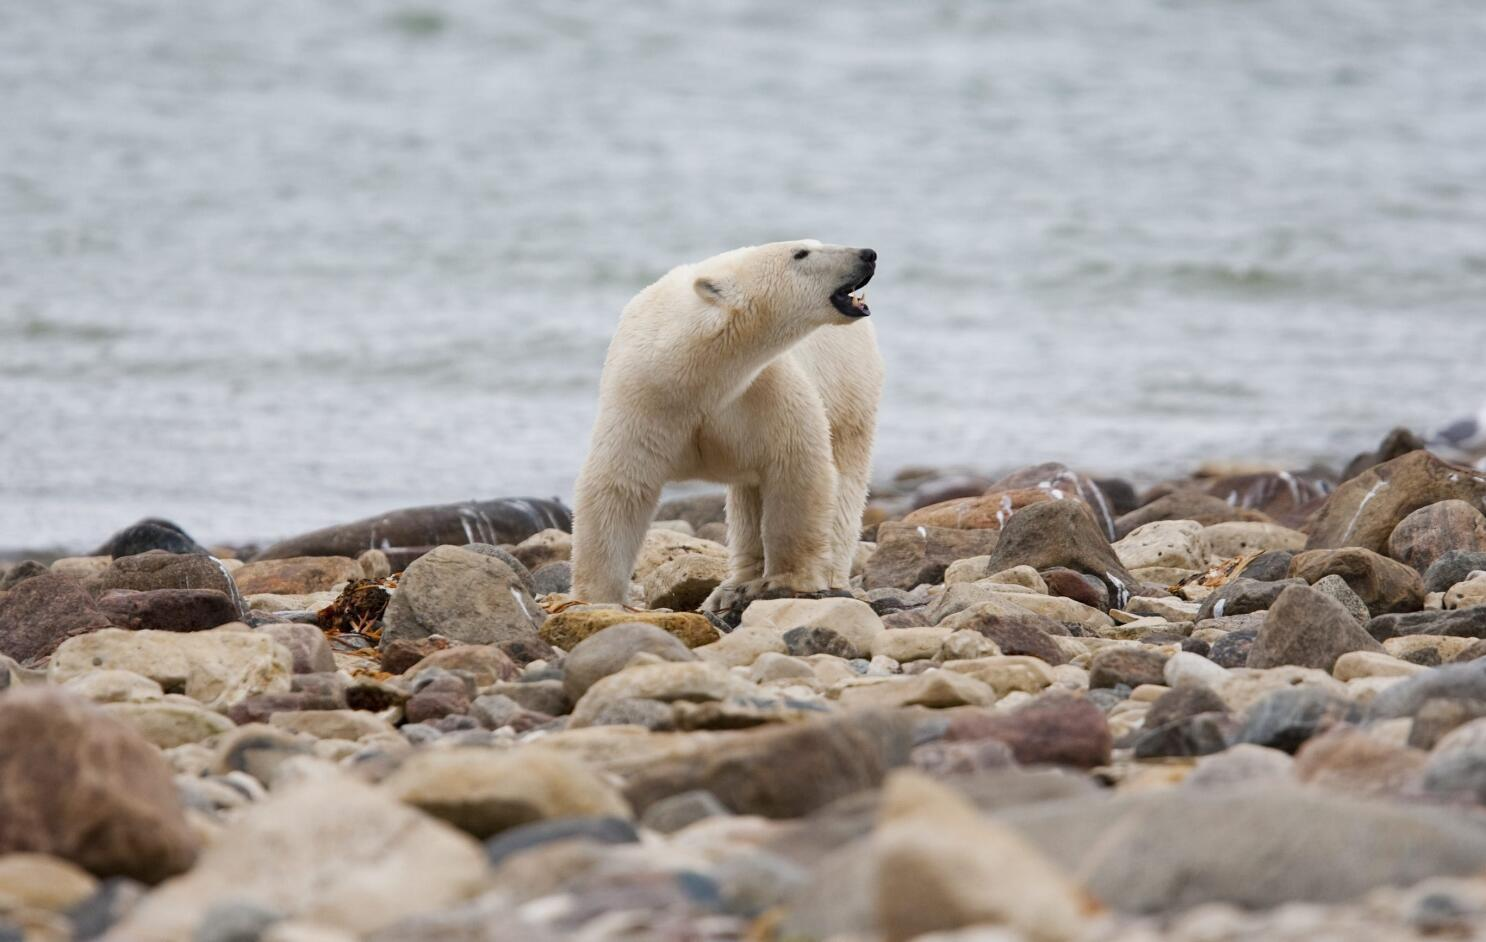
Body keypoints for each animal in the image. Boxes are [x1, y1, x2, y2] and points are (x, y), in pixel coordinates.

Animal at [570, 242, 879, 609]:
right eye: (801, 253)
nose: (867, 254)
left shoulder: (763, 391)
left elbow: (796, 467)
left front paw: (787, 580)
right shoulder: (644, 399)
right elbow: (620, 485)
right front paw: (596, 597)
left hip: (849, 390)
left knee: (844, 483)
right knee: (748, 498)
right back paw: (733, 587)